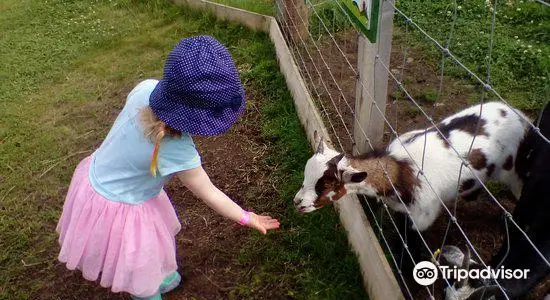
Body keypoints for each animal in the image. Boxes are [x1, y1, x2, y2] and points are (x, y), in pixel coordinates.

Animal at [296, 102, 532, 231]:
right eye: (306, 174)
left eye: (327, 183)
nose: (297, 203)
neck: (399, 170)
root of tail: (519, 115)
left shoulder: (421, 218)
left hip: (516, 174)